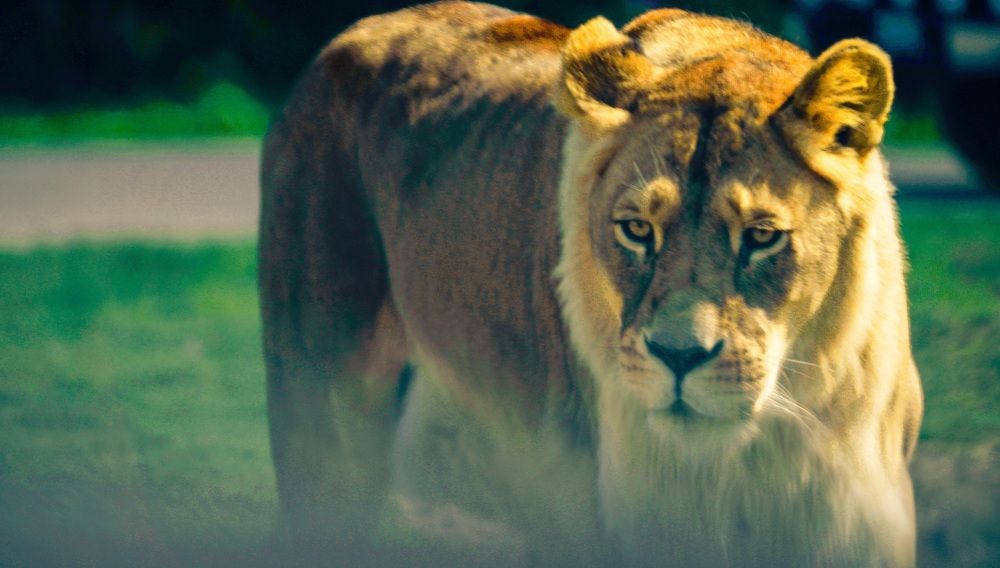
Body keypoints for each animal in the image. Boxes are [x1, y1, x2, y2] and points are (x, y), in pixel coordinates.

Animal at [258, 2, 924, 566]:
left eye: (761, 237)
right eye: (636, 229)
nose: (678, 357)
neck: (751, 456)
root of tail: (355, 31)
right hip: (322, 422)